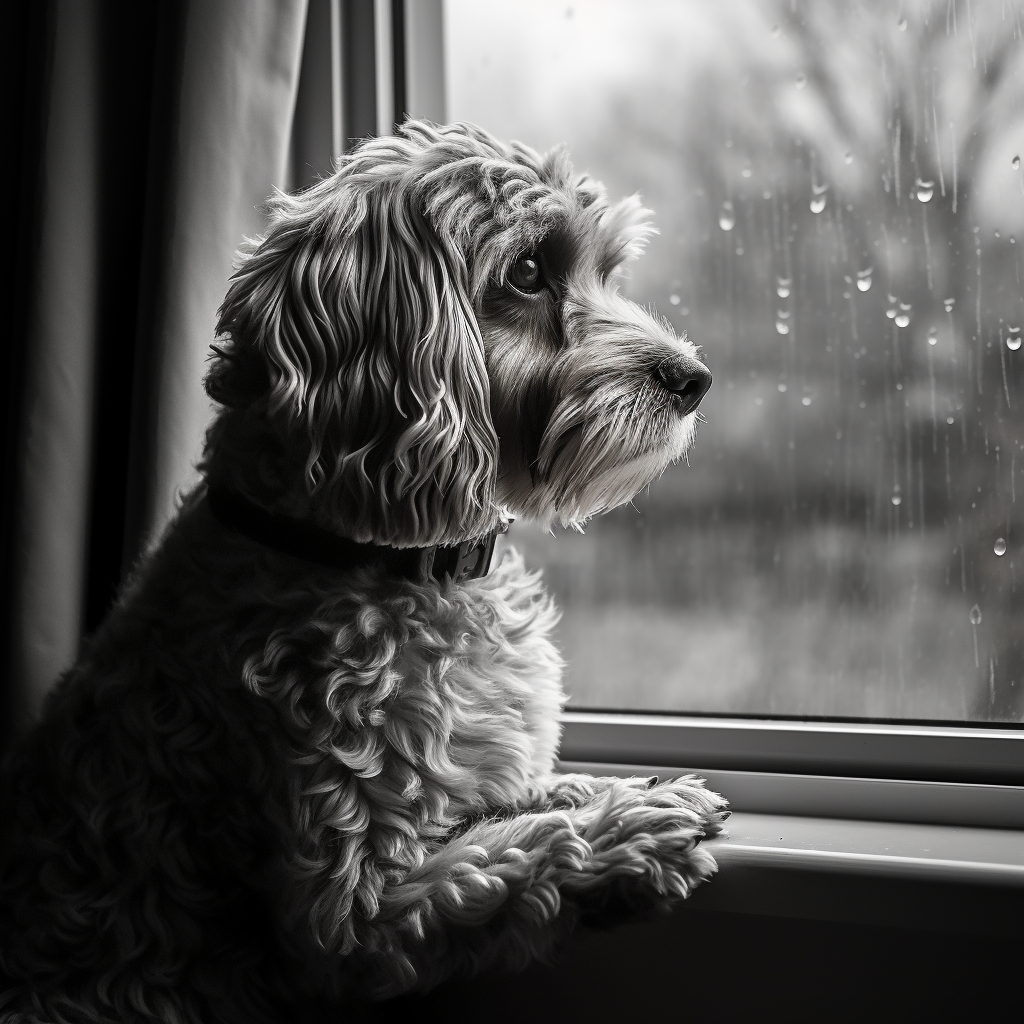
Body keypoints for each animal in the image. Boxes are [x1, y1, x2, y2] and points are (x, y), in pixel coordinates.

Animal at [0, 121, 724, 1024]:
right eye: (527, 272)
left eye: (607, 269)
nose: (693, 378)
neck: (381, 559)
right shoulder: (354, 912)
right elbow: (510, 859)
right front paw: (635, 825)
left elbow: (515, 799)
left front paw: (598, 790)